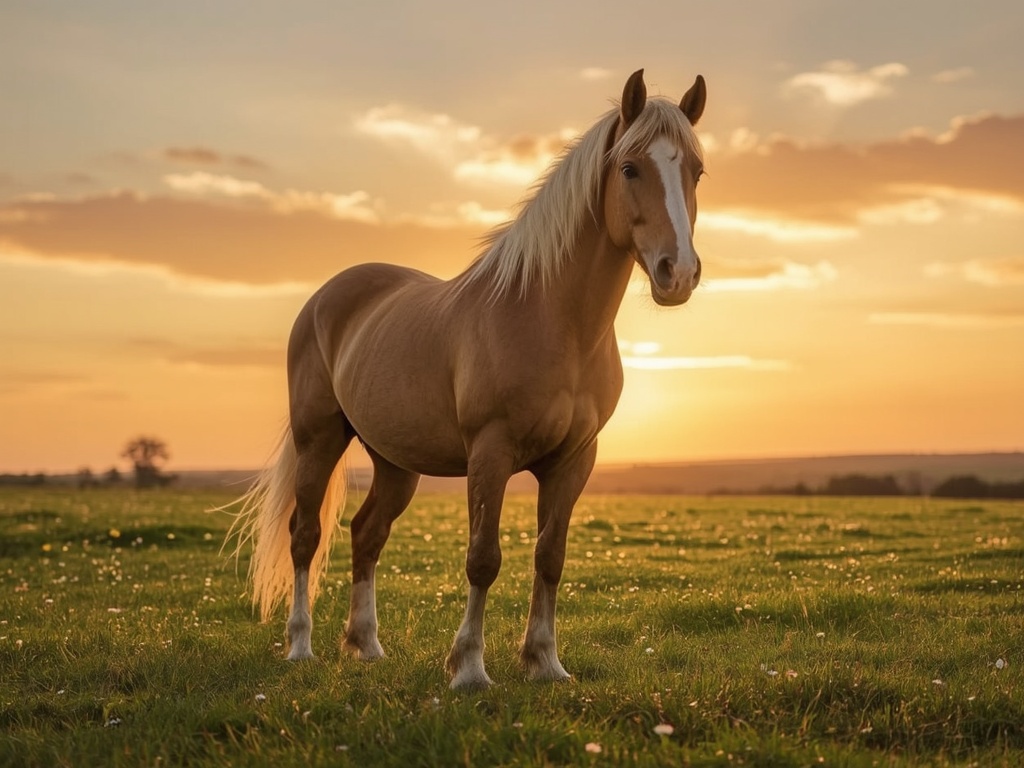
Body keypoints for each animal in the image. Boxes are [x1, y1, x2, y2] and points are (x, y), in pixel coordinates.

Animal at [226, 68, 707, 689]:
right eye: (630, 168)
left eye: (696, 171)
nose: (680, 272)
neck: (548, 317)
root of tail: (327, 297)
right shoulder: (490, 452)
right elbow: (483, 558)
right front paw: (470, 668)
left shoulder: (575, 459)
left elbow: (550, 557)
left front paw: (545, 662)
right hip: (320, 440)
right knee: (306, 534)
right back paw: (301, 646)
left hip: (396, 462)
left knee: (366, 533)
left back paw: (366, 645)